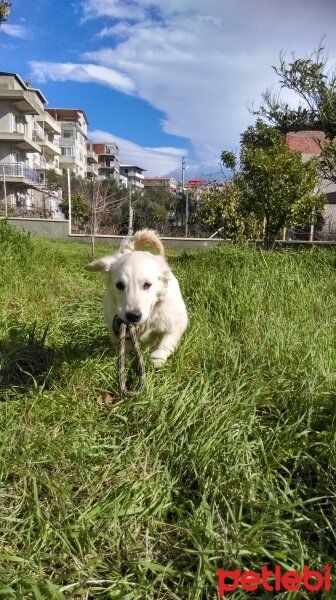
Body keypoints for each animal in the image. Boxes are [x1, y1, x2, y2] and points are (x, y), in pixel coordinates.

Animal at [84, 230, 189, 366]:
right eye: (120, 285)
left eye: (147, 284)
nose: (133, 316)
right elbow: (125, 348)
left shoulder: (175, 321)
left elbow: (167, 341)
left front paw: (157, 359)